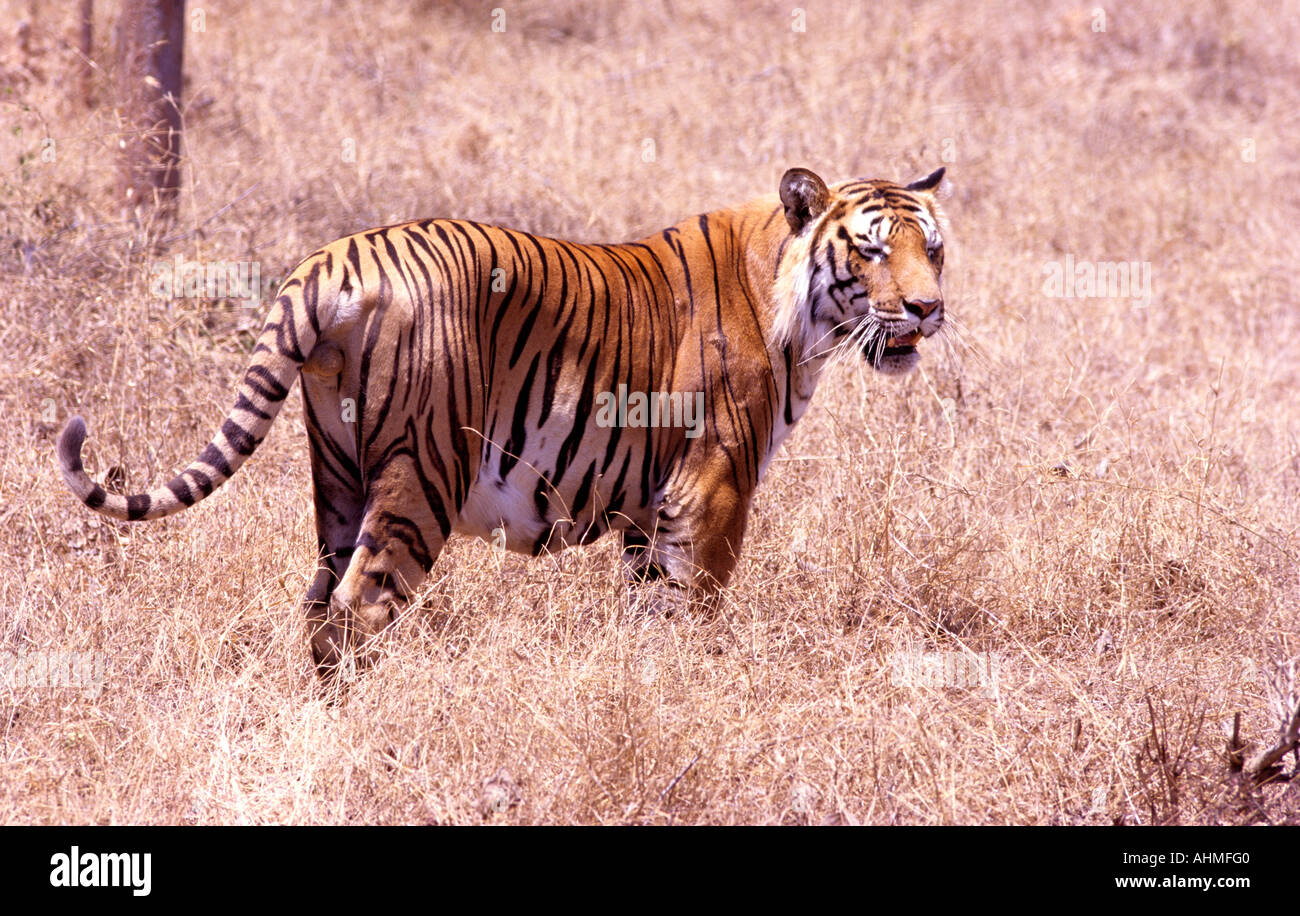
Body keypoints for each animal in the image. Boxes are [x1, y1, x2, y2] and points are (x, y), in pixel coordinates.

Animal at [55, 166, 951, 680]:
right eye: (871, 250)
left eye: (933, 248)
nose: (927, 308)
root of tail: (328, 261)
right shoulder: (714, 486)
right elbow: (693, 609)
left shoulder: (649, 505)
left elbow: (649, 608)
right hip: (423, 478)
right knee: (356, 609)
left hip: (337, 476)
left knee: (315, 604)